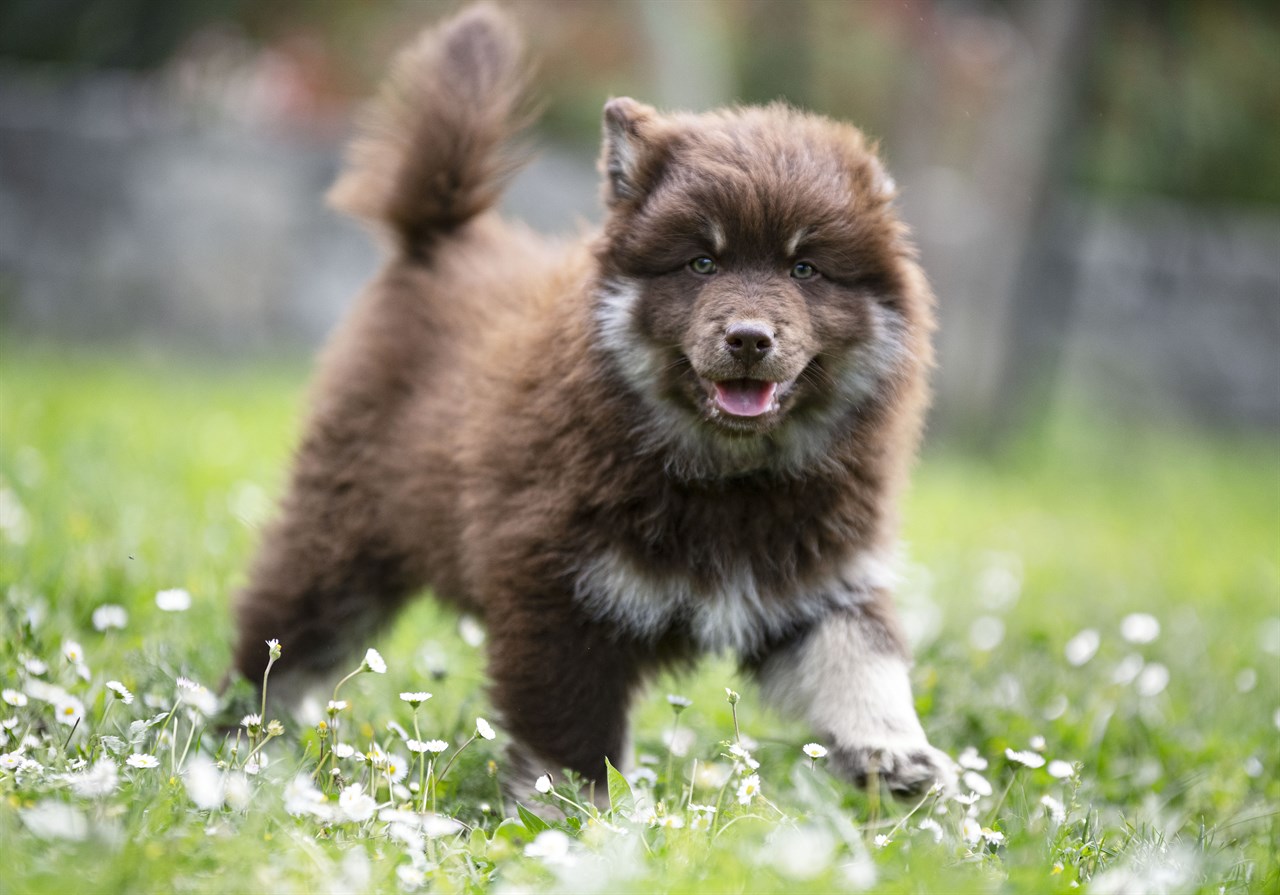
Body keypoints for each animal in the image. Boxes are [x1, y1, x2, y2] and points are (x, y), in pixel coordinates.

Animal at [232, 1, 952, 798]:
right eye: (702, 262)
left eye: (806, 269)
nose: (748, 337)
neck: (726, 478)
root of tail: (440, 242)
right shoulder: (561, 590)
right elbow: (568, 732)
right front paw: (574, 812)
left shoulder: (816, 580)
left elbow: (861, 660)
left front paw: (893, 751)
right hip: (345, 535)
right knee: (283, 637)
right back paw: (251, 738)